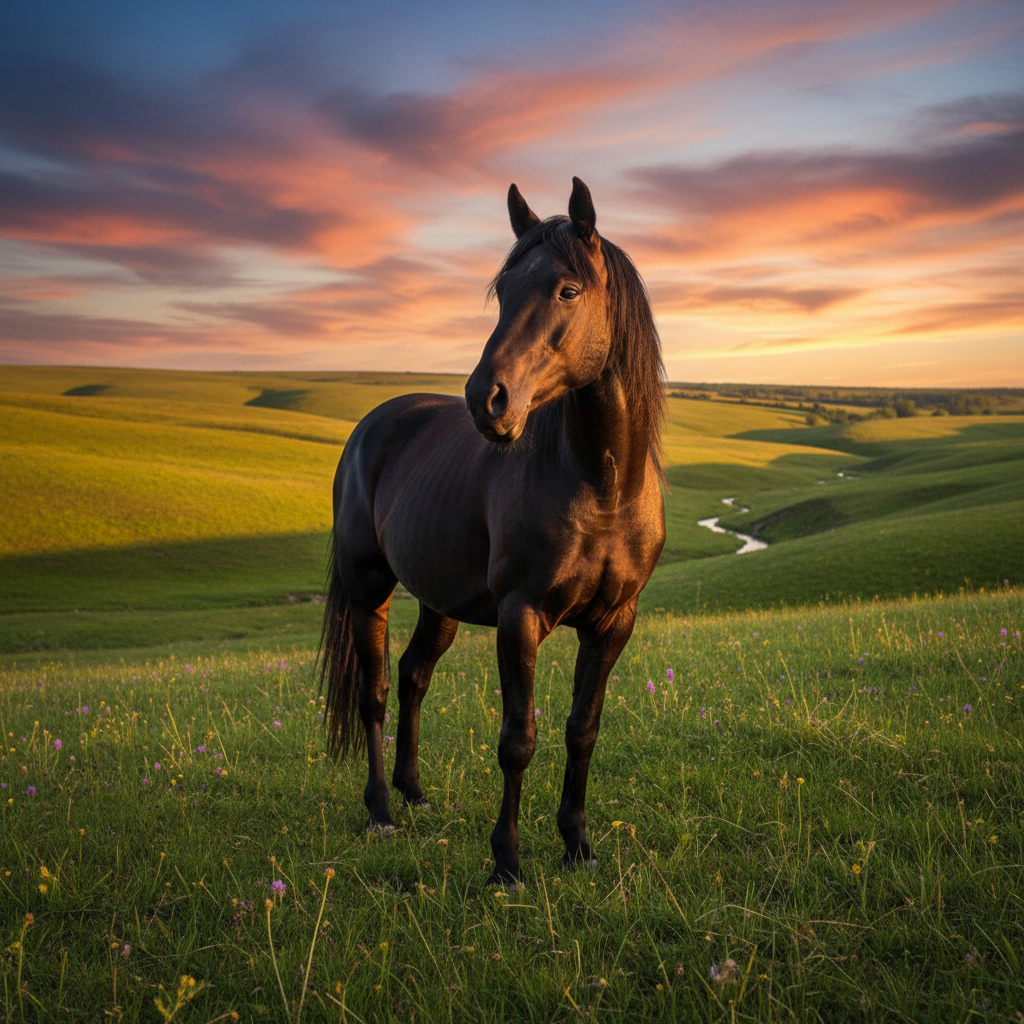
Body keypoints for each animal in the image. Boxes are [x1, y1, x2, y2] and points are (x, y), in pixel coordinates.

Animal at [319, 177, 665, 884]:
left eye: (568, 290)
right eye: (503, 291)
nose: (487, 400)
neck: (602, 485)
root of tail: (374, 424)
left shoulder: (614, 621)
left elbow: (582, 730)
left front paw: (577, 846)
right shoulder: (519, 616)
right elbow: (517, 739)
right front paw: (506, 860)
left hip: (439, 602)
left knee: (413, 675)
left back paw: (414, 792)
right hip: (370, 591)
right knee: (373, 694)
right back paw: (380, 812)